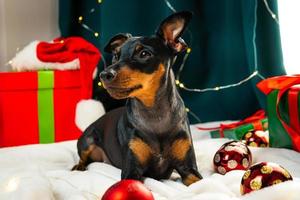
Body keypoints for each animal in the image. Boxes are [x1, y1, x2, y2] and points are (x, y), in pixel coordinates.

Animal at [73, 10, 203, 186]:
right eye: (116, 56)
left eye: (144, 54)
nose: (104, 74)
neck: (154, 112)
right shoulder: (132, 171)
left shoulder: (189, 170)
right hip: (87, 140)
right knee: (82, 158)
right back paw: (78, 167)